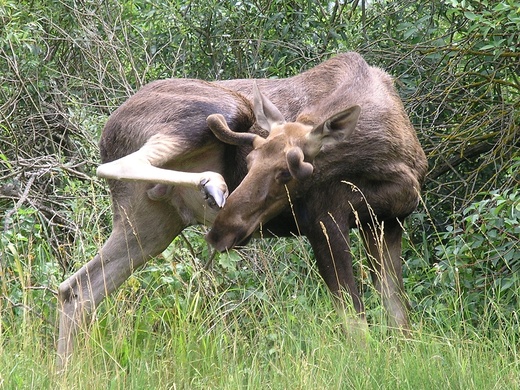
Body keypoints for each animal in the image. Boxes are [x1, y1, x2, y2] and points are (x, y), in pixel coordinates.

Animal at [57, 52, 428, 368]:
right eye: (248, 161)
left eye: (288, 173)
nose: (221, 231)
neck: (389, 160)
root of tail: (109, 132)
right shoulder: (323, 219)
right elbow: (355, 321)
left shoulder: (388, 222)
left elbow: (399, 318)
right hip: (224, 108)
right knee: (117, 167)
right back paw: (212, 184)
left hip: (151, 225)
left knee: (77, 289)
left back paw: (64, 371)